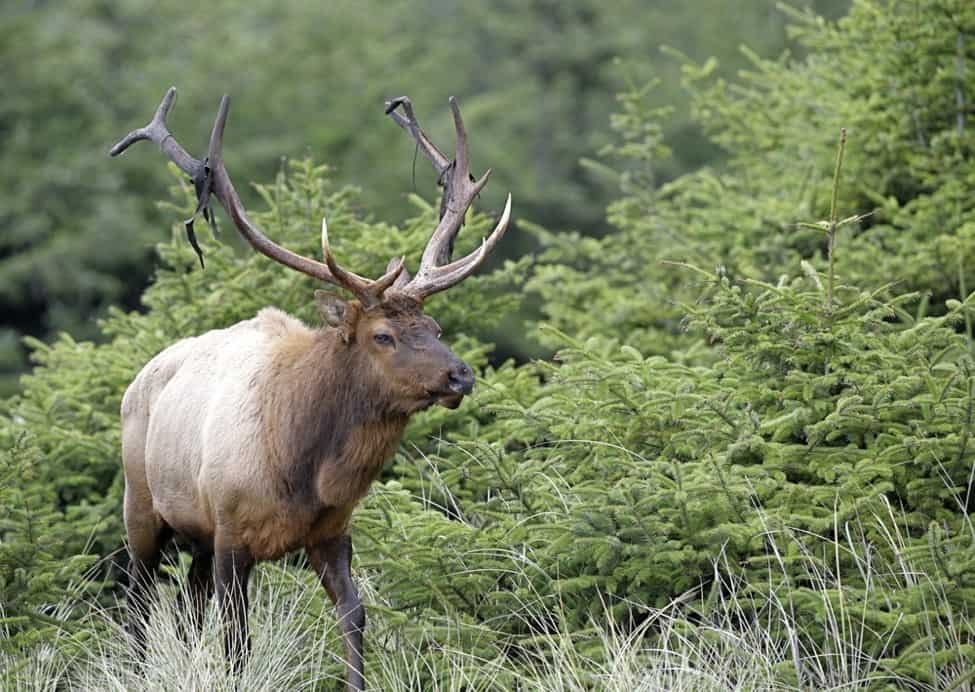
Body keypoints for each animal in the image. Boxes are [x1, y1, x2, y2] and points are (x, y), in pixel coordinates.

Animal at [109, 87, 511, 691]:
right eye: (383, 335)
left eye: (435, 328)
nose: (460, 375)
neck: (303, 471)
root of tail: (141, 376)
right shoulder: (231, 529)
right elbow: (237, 641)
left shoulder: (331, 531)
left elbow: (354, 614)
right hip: (143, 505)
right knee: (138, 602)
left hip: (194, 533)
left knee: (185, 608)